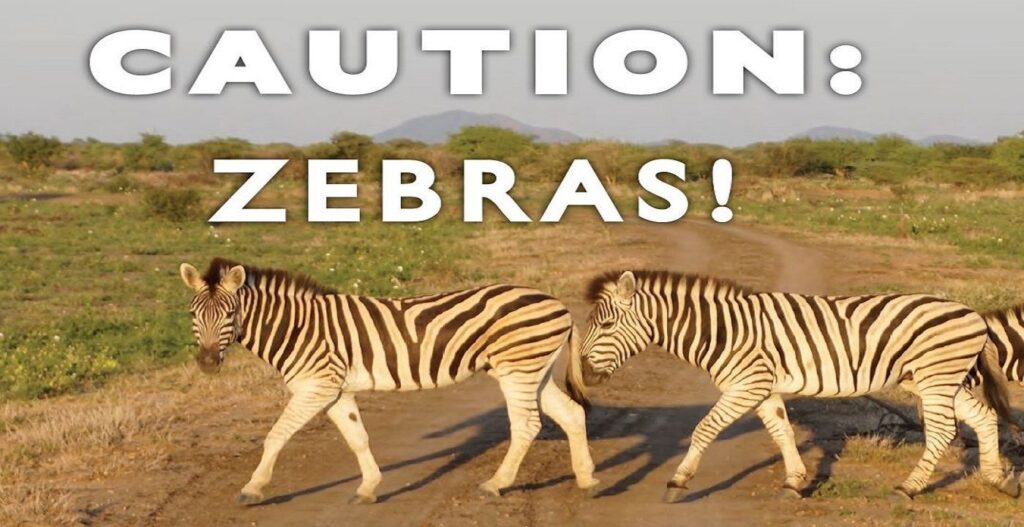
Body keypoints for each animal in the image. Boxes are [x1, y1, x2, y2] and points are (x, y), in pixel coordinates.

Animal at [178, 257, 598, 504]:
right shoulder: (336, 390)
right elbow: (358, 438)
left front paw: (253, 487)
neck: (296, 328)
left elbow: (277, 434)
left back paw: (497, 483)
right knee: (572, 414)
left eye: (230, 313)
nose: (207, 363)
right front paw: (369, 487)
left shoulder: (317, 386)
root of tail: (557, 302)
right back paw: (587, 479)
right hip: (533, 372)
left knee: (526, 425)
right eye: (194, 314)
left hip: (518, 370)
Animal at [577, 270, 1020, 502]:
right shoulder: (763, 388)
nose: (583, 371)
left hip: (935, 379)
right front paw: (794, 481)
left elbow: (704, 428)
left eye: (607, 324)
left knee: (944, 430)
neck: (723, 331)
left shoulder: (746, 384)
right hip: (938, 382)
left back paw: (909, 488)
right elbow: (782, 432)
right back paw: (999, 481)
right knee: (983, 417)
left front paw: (677, 482)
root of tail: (972, 314)